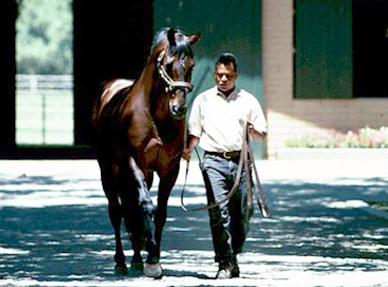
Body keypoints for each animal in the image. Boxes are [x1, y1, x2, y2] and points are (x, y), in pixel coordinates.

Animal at [91, 28, 200, 278]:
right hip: (108, 171)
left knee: (131, 209)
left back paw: (136, 258)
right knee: (117, 211)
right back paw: (121, 262)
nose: (179, 108)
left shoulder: (170, 169)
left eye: (191, 65)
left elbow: (159, 212)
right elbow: (146, 206)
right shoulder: (134, 162)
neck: (155, 116)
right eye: (168, 64)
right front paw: (151, 256)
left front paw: (153, 258)